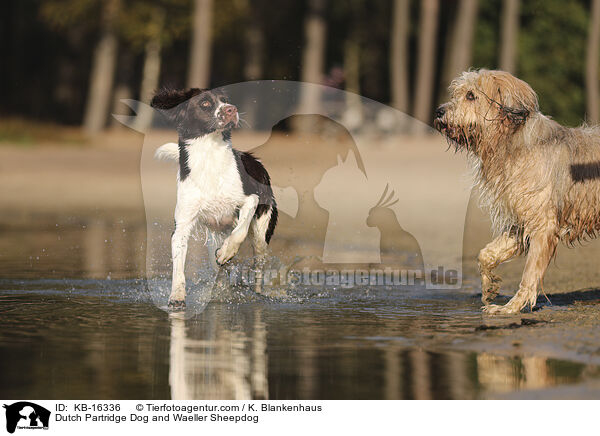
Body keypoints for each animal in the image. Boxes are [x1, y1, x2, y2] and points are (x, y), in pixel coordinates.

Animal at [152, 87, 278, 306]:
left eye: (225, 99)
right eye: (204, 103)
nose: (231, 109)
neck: (210, 156)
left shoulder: (250, 198)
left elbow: (239, 232)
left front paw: (227, 251)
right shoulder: (182, 224)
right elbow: (178, 267)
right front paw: (176, 296)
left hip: (261, 236)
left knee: (258, 267)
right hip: (213, 238)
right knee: (218, 269)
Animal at [434, 69, 600, 314]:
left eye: (471, 95)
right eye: (456, 93)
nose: (439, 111)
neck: (511, 143)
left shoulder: (543, 224)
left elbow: (529, 273)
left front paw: (510, 307)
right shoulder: (520, 220)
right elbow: (485, 253)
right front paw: (490, 285)